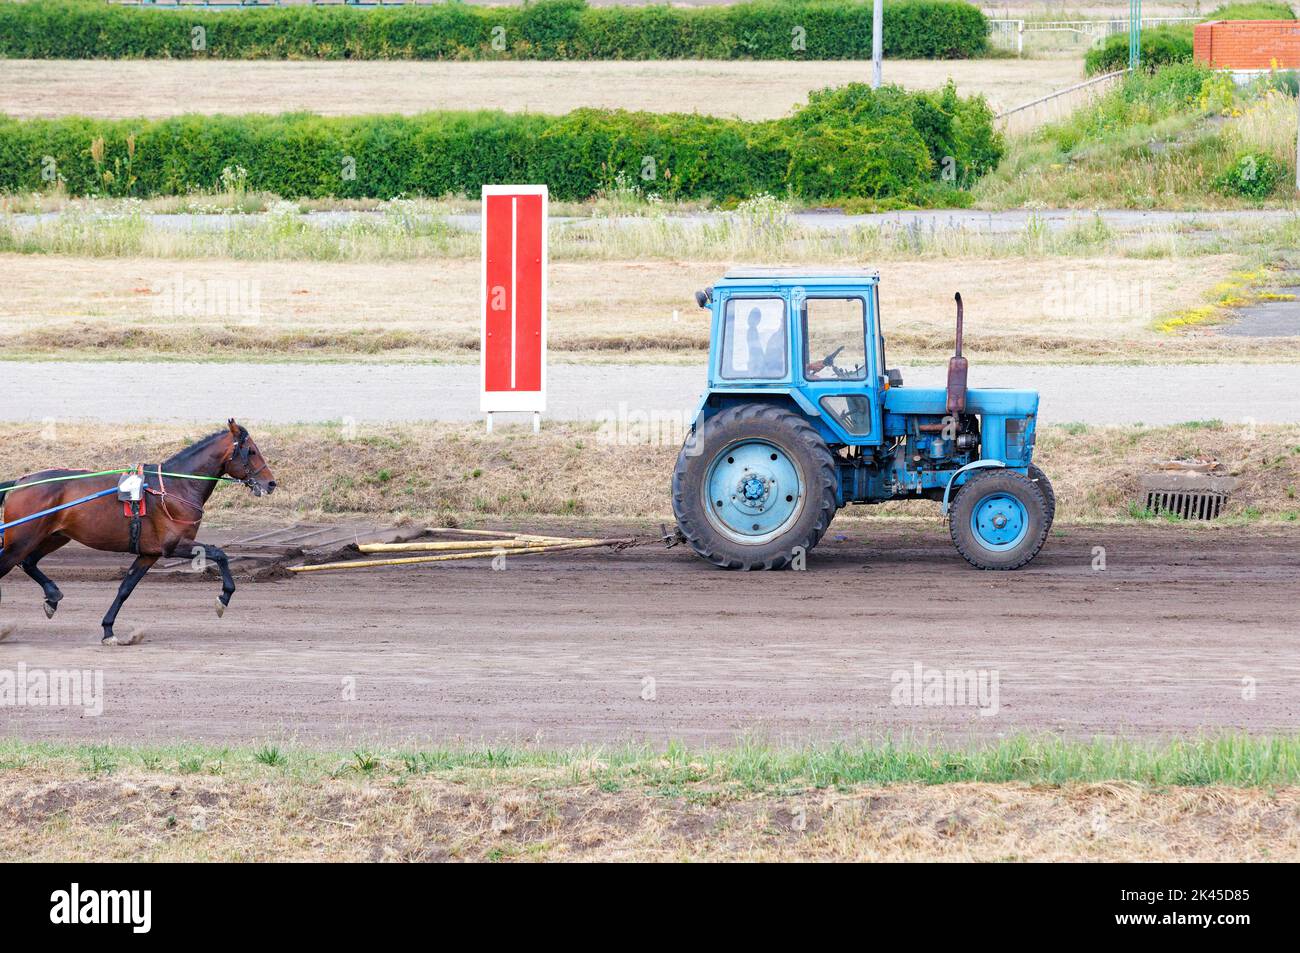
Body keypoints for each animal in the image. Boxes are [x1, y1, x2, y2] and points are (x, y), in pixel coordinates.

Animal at [0, 421, 274, 642]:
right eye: (251, 451)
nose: (271, 483)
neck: (175, 486)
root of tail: (19, 482)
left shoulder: (149, 553)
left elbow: (126, 588)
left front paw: (108, 630)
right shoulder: (174, 545)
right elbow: (220, 554)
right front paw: (223, 598)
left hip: (54, 536)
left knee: (29, 562)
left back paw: (53, 596)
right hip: (22, 538)